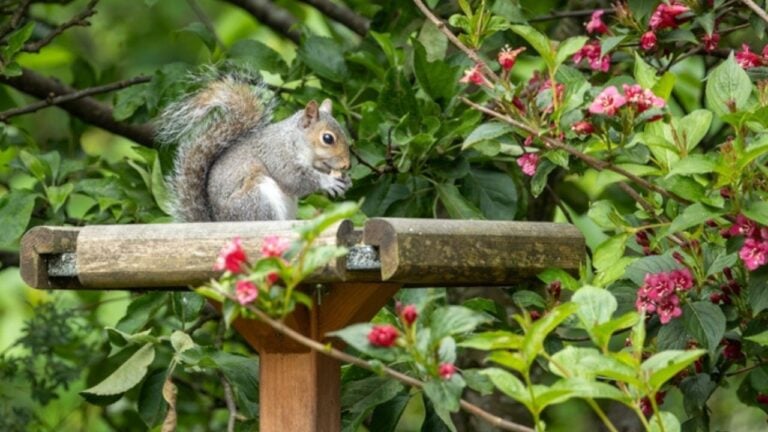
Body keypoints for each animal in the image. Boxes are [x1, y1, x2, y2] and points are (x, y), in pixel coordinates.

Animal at [156, 70, 352, 222]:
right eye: (328, 138)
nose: (347, 165)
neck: (294, 139)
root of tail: (218, 221)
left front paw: (346, 180)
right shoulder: (278, 154)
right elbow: (294, 178)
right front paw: (328, 182)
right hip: (256, 198)